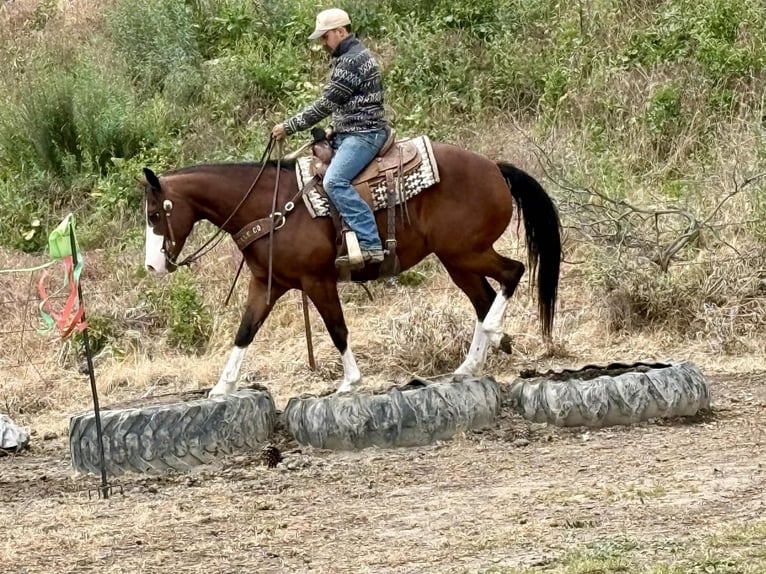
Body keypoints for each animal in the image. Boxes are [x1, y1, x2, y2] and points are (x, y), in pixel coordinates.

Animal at [142, 136, 562, 396]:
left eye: (154, 214)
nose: (152, 266)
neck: (270, 207)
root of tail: (494, 167)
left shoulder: (317, 280)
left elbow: (337, 329)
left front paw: (350, 382)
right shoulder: (266, 284)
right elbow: (244, 332)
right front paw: (222, 387)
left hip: (465, 252)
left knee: (511, 273)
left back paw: (493, 335)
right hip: (456, 259)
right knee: (484, 298)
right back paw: (471, 364)